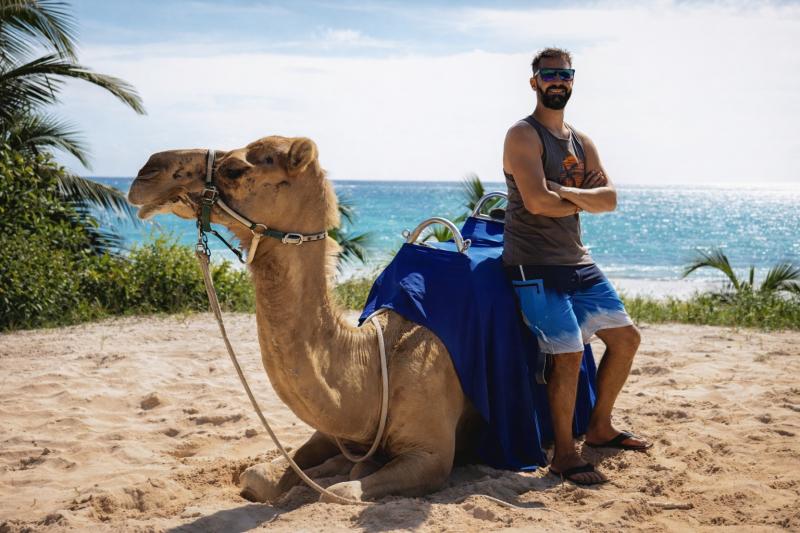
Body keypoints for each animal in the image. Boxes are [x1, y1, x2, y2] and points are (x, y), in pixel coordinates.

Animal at [128, 136, 485, 503]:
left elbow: (338, 491)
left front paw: (346, 474)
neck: (379, 359)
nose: (147, 172)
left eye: (234, 169)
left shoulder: (432, 456)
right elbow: (260, 476)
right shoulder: (331, 431)